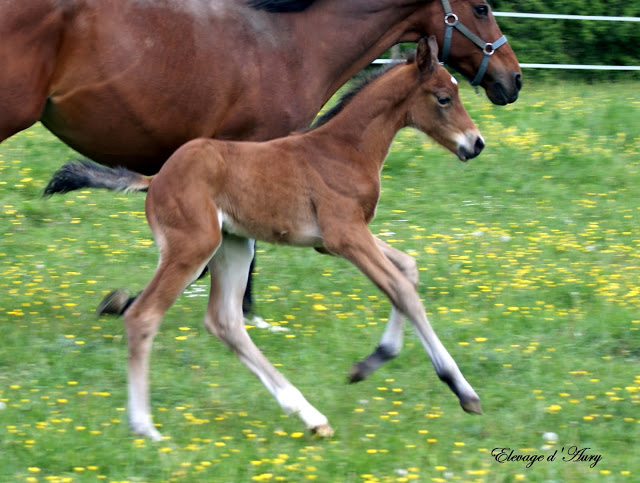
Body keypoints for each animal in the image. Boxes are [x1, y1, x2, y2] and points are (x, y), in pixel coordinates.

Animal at [45, 36, 482, 438]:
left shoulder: (336, 240)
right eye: (444, 97)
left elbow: (408, 269)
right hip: (193, 247)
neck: (345, 149)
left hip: (235, 246)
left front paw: (370, 362)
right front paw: (463, 390)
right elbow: (402, 290)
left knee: (225, 321)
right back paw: (145, 427)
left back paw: (310, 415)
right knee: (143, 316)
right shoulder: (344, 235)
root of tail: (155, 180)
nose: (476, 143)